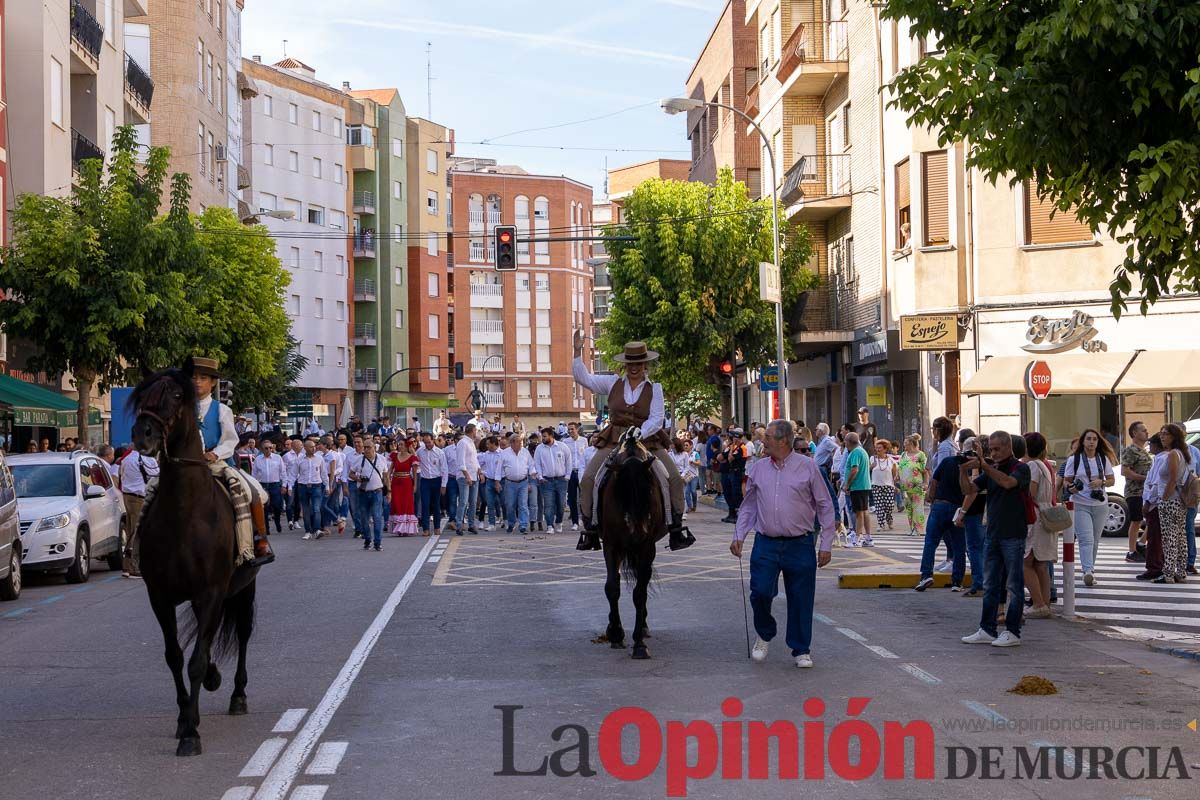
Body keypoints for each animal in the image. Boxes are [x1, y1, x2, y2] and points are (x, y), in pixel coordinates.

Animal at [127, 362, 256, 758]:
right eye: (143, 394)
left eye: (175, 395)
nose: (142, 435)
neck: (185, 513)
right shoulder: (161, 596)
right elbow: (176, 656)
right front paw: (185, 717)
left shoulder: (211, 592)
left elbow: (197, 660)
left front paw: (191, 734)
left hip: (243, 589)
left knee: (242, 633)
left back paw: (238, 695)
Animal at [600, 429, 667, 662]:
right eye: (622, 491)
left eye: (649, 491)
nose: (636, 531)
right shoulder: (611, 545)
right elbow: (612, 587)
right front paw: (616, 633)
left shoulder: (646, 547)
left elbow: (640, 593)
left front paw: (639, 643)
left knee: (642, 582)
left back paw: (644, 627)